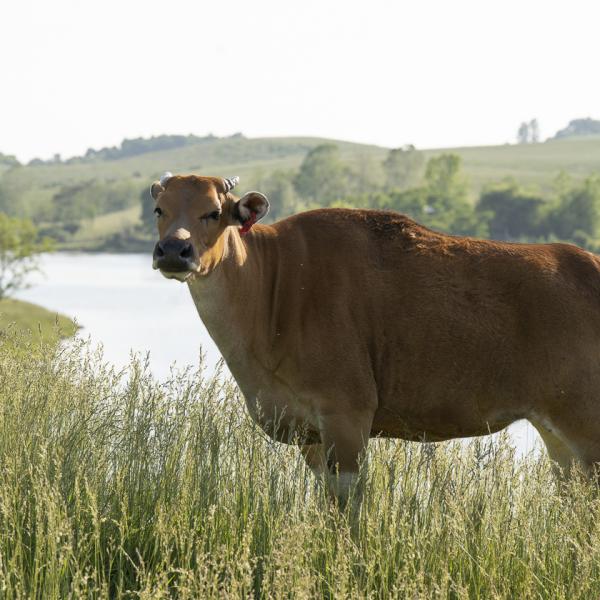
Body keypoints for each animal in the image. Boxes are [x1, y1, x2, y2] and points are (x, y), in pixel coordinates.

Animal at [151, 172, 600, 506]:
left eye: (213, 212)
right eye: (159, 209)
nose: (173, 250)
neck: (273, 288)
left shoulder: (347, 415)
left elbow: (347, 511)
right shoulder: (311, 436)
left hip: (586, 426)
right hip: (558, 439)